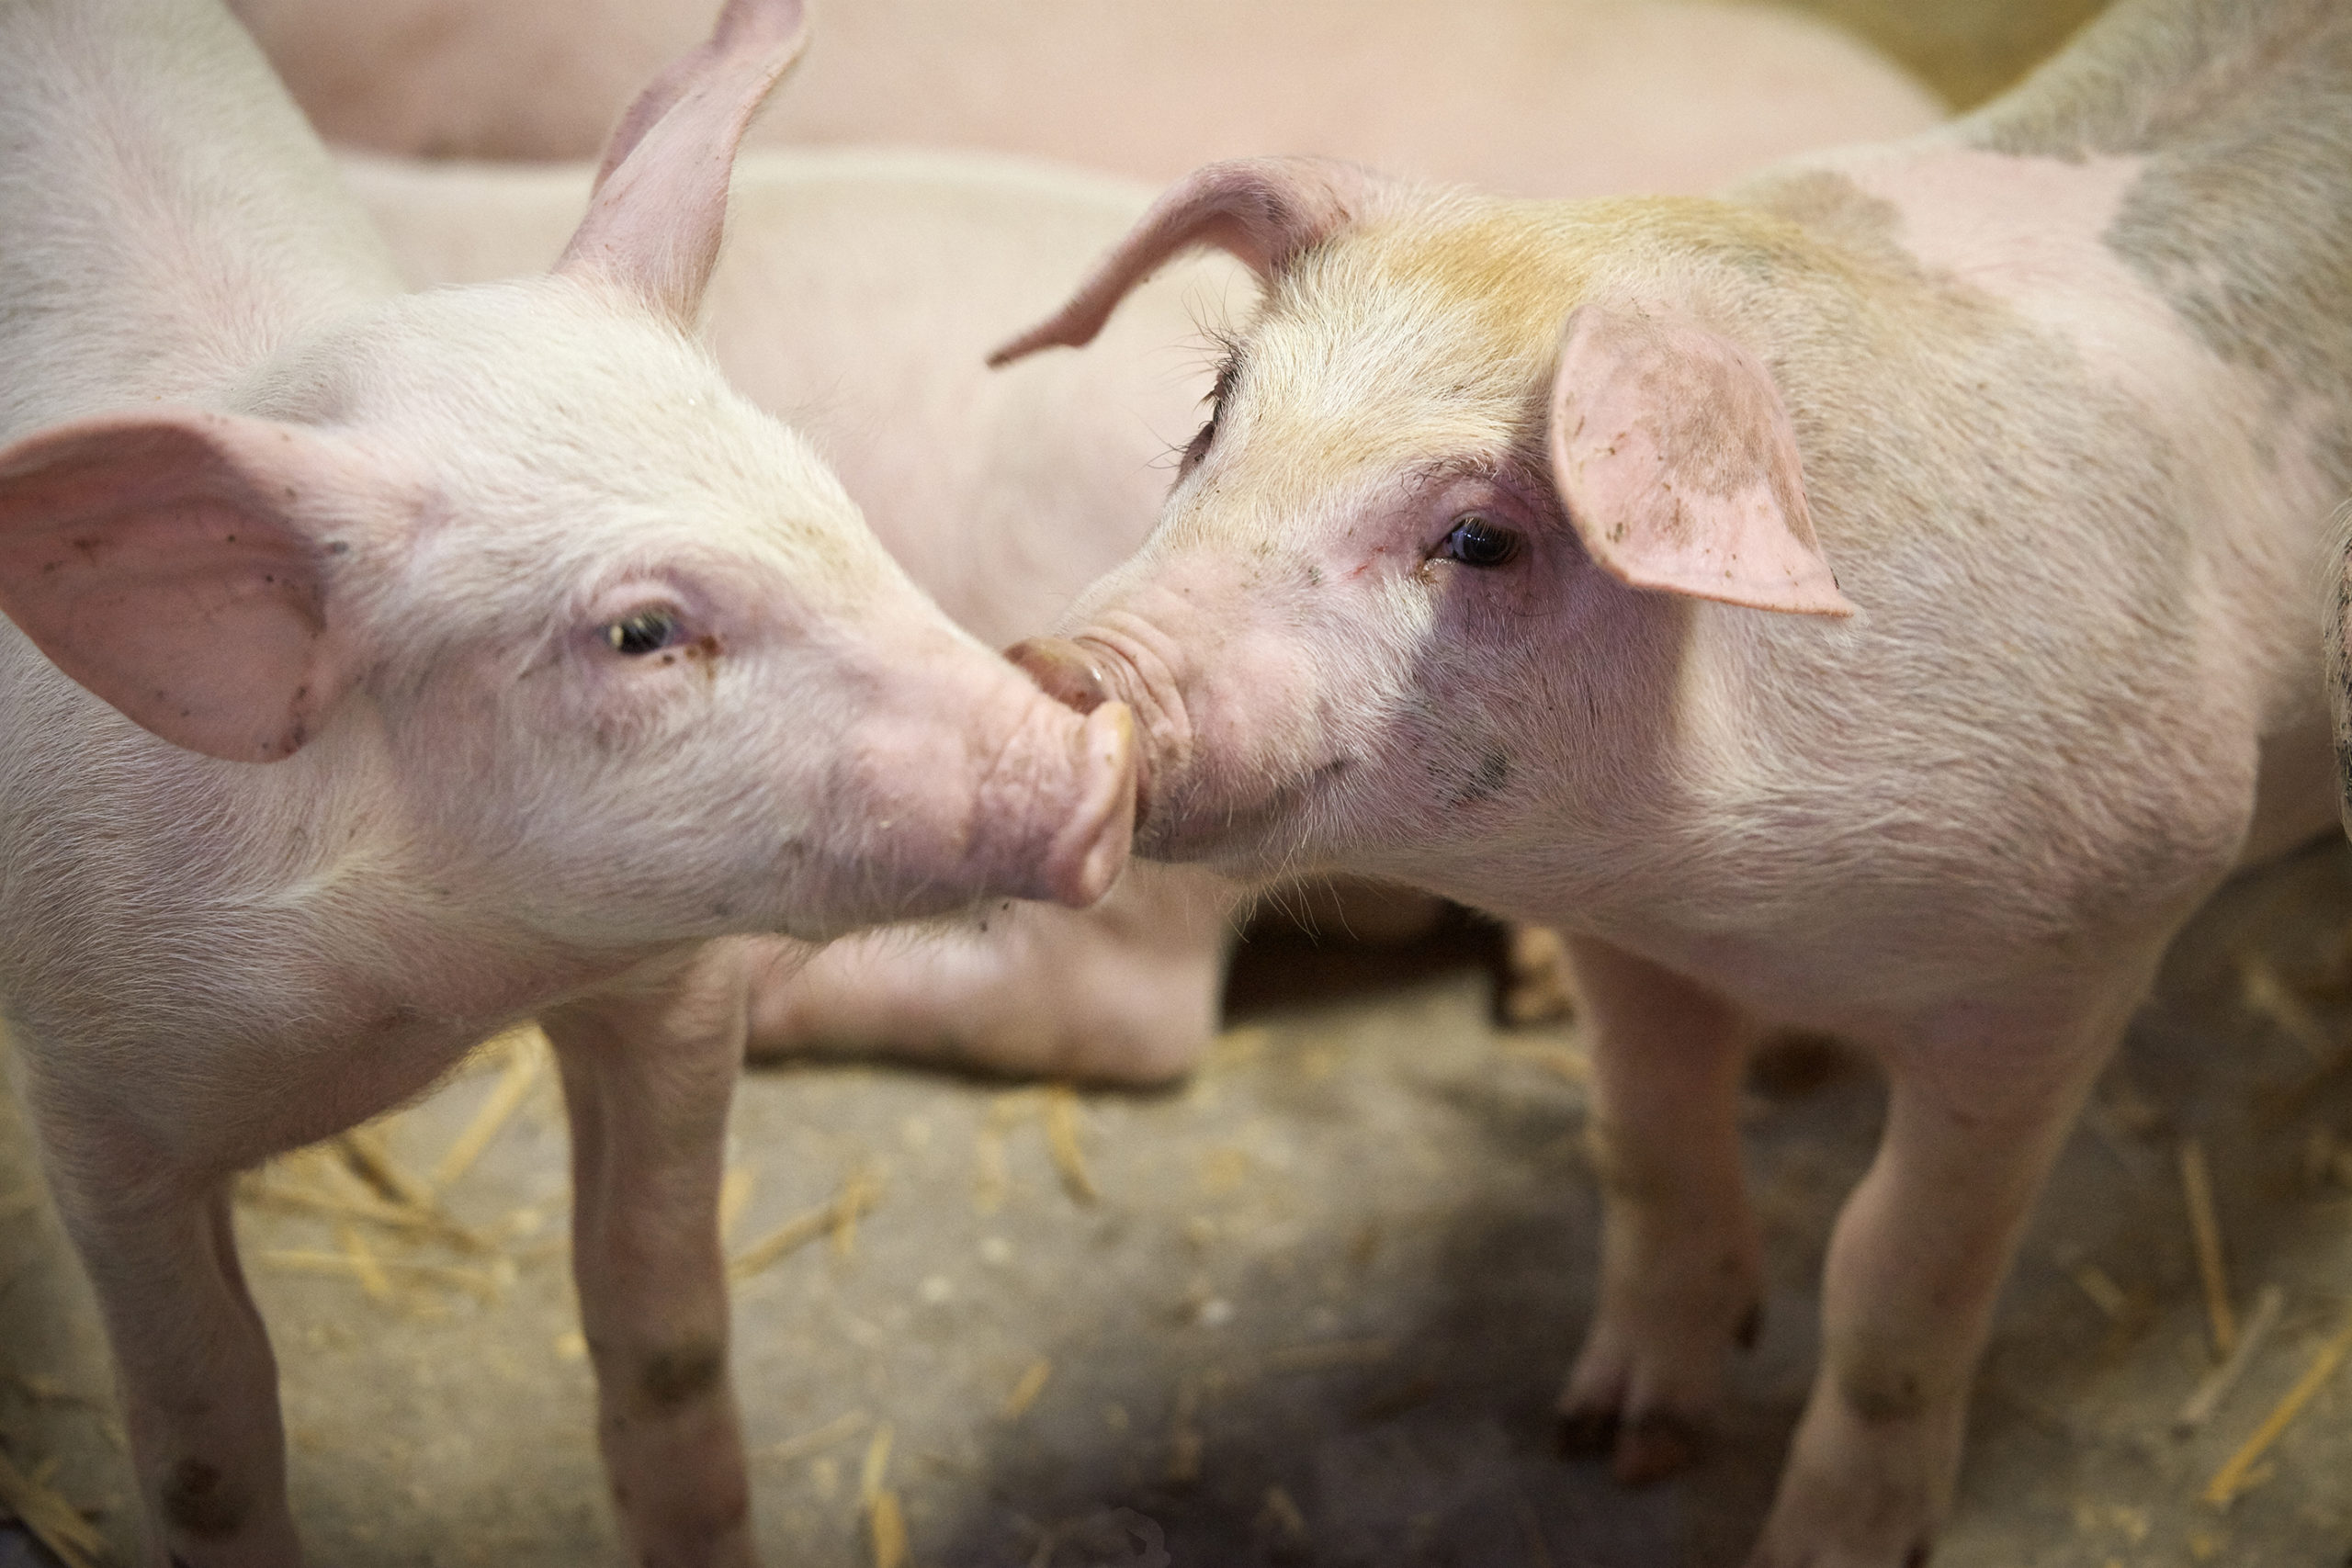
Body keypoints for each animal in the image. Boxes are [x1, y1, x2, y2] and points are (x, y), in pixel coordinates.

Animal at [0, 1, 1134, 1565]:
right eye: (642, 632)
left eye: (829, 503)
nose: (1100, 751)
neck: (418, 1003)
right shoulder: (96, 1103)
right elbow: (206, 1450)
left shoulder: (668, 987)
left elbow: (668, 1331)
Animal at [992, 0, 2352, 1559]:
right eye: (1219, 410)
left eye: (1479, 537)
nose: (1066, 666)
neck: (1735, 899)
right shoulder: (1625, 936)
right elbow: (1644, 1147)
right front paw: (1612, 1440)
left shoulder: (2090, 932)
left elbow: (1894, 1269)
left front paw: (1819, 1538)